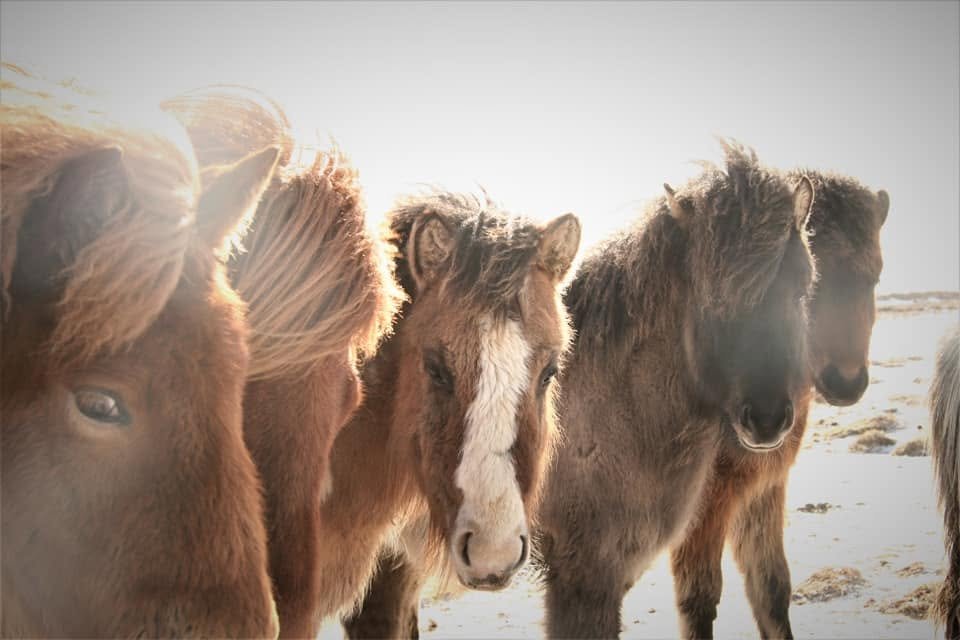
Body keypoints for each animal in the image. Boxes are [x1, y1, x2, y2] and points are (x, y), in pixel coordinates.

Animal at [669, 170, 889, 639]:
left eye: (874, 278)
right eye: (814, 285)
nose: (846, 382)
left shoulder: (763, 489)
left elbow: (771, 587)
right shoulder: (702, 509)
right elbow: (698, 600)